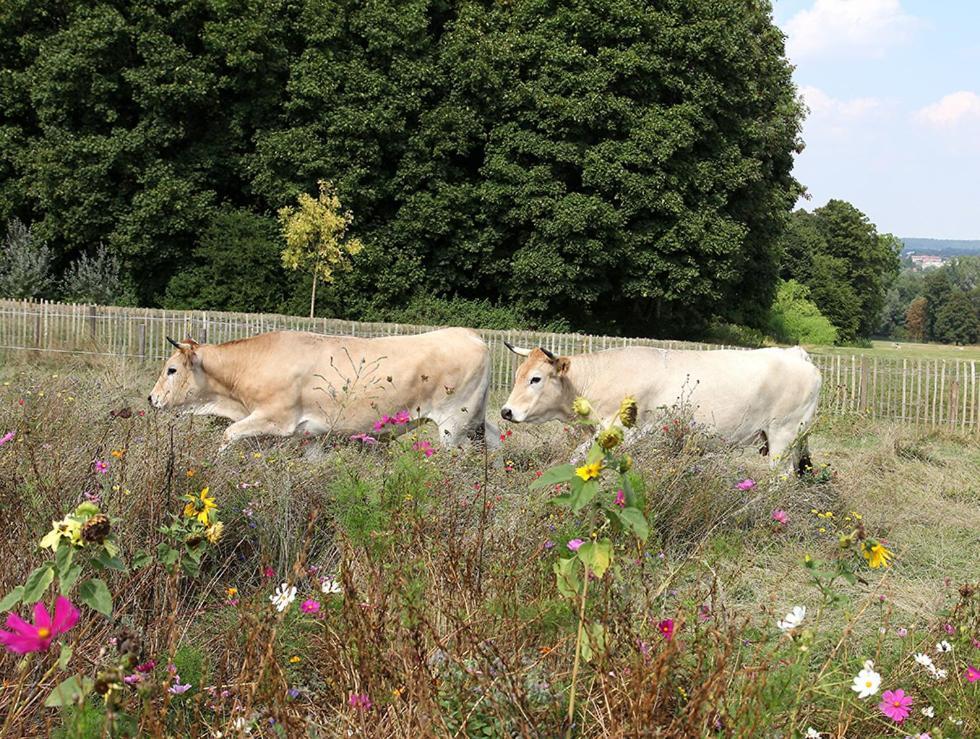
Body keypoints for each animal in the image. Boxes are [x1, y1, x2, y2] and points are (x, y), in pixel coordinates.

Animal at [147, 330, 498, 450]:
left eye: (171, 369)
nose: (151, 398)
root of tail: (470, 335)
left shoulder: (275, 419)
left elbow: (228, 435)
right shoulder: (311, 433)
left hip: (453, 425)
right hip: (476, 419)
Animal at [502, 342, 824, 474]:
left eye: (536, 378)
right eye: (517, 374)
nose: (506, 411)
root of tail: (795, 354)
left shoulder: (623, 431)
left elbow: (579, 456)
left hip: (783, 435)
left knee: (781, 478)